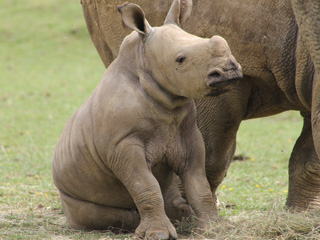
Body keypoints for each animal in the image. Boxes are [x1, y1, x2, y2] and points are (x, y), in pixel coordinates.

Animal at [52, 0, 242, 239]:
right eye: (180, 60)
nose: (229, 70)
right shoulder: (122, 144)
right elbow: (144, 184)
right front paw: (158, 234)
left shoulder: (189, 136)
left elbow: (199, 184)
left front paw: (215, 228)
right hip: (70, 193)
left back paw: (181, 214)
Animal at [82, 0, 320, 210]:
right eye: (180, 59)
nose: (230, 69)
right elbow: (208, 152)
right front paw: (186, 216)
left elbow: (310, 155)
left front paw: (301, 214)